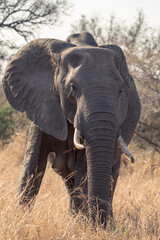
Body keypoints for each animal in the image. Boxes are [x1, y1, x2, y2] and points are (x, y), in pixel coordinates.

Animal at [2, 31, 140, 227]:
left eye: (121, 90)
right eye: (72, 88)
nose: (98, 224)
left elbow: (84, 167)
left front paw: (84, 227)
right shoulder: (42, 104)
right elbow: (33, 164)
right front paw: (19, 221)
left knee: (110, 174)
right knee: (69, 179)